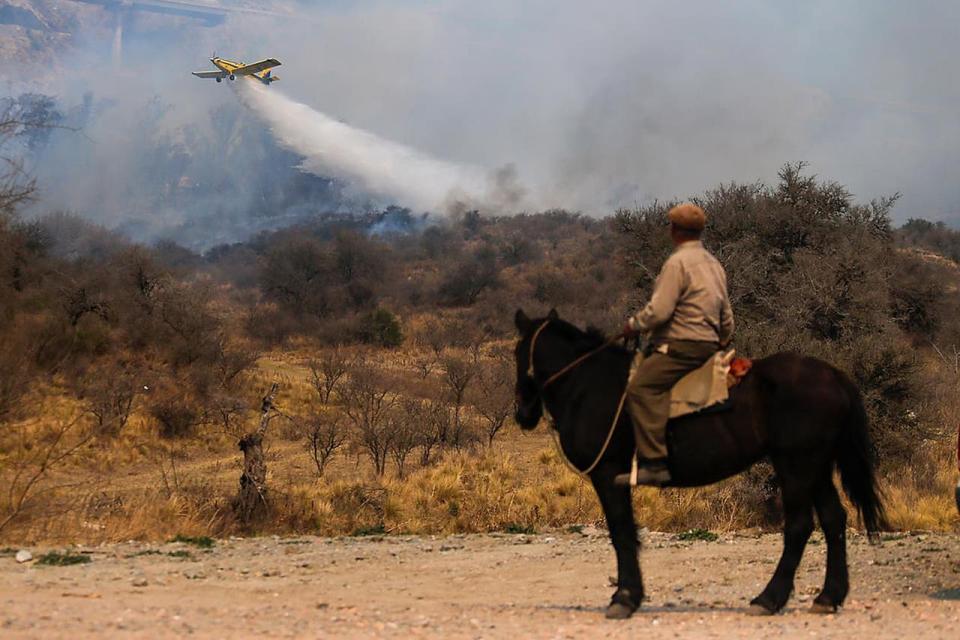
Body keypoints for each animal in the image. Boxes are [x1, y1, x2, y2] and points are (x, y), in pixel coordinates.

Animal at [512, 310, 888, 620]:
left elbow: (621, 533)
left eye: (518, 354)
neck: (588, 385)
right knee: (834, 520)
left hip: (796, 465)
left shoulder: (607, 474)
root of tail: (834, 376)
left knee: (799, 526)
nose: (522, 414)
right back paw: (828, 597)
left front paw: (624, 598)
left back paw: (768, 599)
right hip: (816, 468)